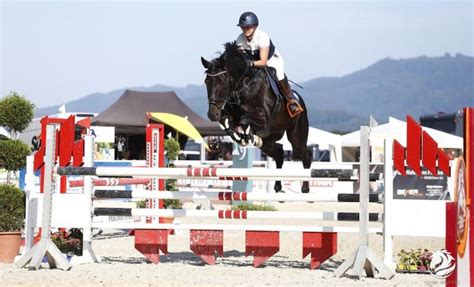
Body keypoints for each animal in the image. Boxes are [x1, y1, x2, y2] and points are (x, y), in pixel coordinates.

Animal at [202, 42, 312, 194]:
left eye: (223, 80)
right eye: (207, 81)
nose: (212, 114)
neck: (243, 86)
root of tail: (299, 100)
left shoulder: (263, 117)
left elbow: (245, 118)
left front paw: (246, 134)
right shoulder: (229, 113)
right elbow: (226, 121)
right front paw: (239, 135)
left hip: (297, 135)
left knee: (305, 155)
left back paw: (305, 188)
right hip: (269, 142)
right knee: (279, 154)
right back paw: (277, 186)